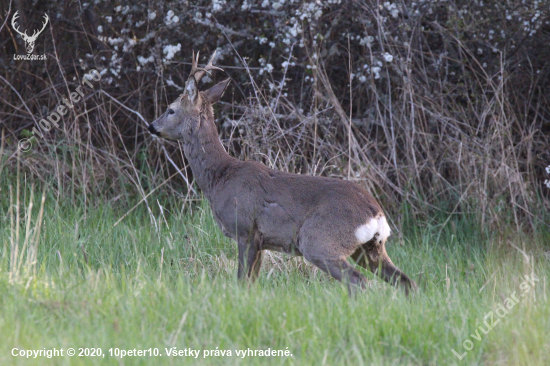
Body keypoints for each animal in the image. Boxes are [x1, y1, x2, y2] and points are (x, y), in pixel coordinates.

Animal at [150, 51, 418, 294]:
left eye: (171, 109)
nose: (152, 126)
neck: (220, 177)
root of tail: (376, 213)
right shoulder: (261, 241)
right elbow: (251, 283)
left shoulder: (245, 229)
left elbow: (241, 281)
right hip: (370, 248)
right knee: (406, 282)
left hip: (319, 240)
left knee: (358, 282)